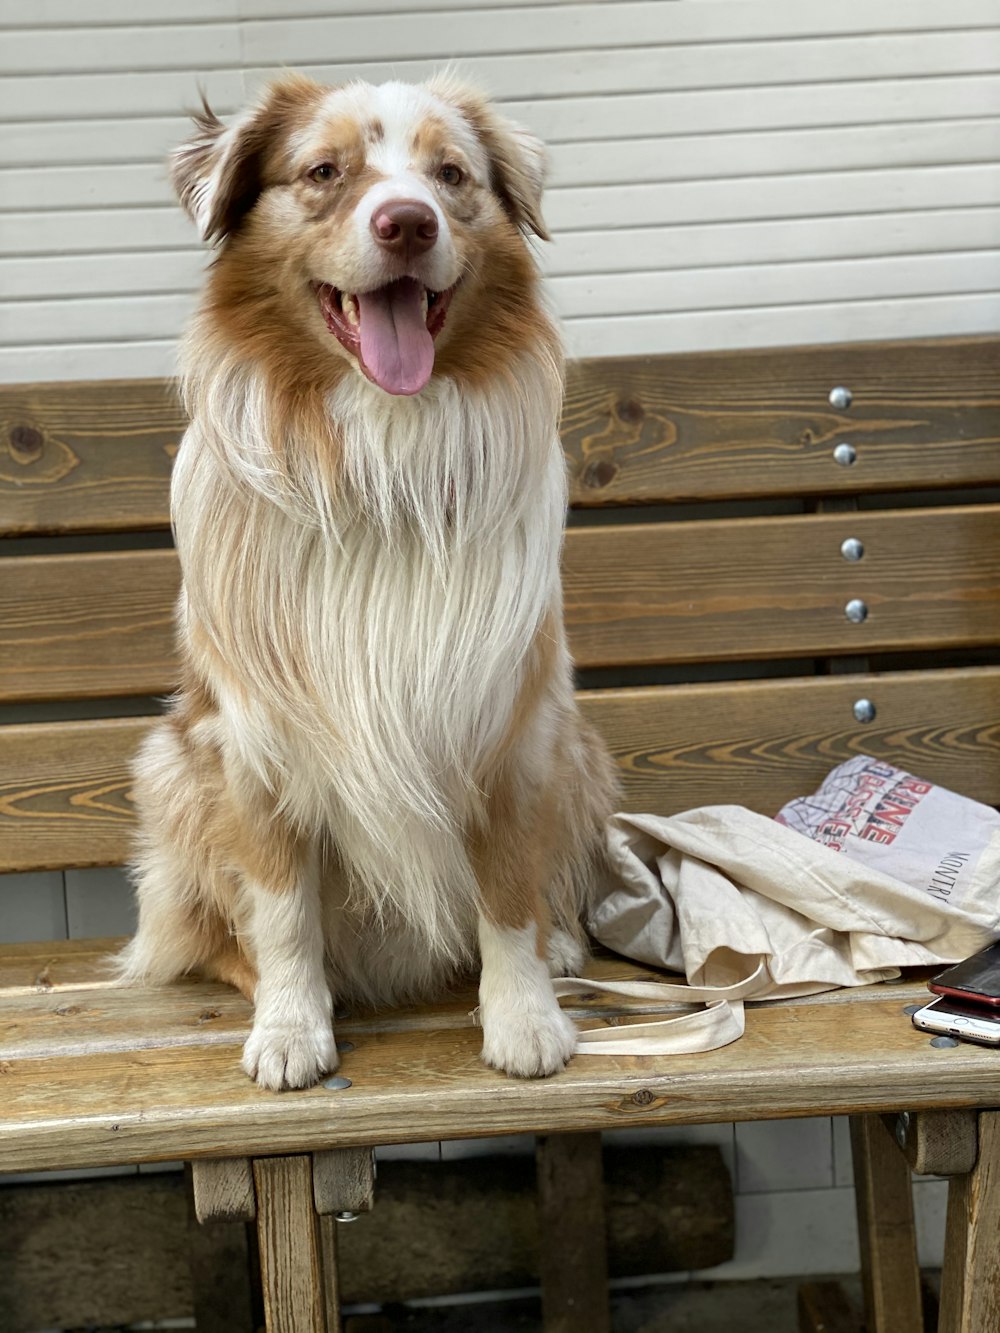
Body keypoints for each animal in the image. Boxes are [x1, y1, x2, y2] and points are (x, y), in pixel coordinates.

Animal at [117, 72, 618, 1087]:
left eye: (450, 174)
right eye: (322, 172)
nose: (407, 223)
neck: (385, 458)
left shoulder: (513, 723)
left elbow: (510, 889)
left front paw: (524, 1015)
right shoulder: (254, 746)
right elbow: (280, 909)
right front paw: (290, 1025)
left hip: (580, 748)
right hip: (169, 768)